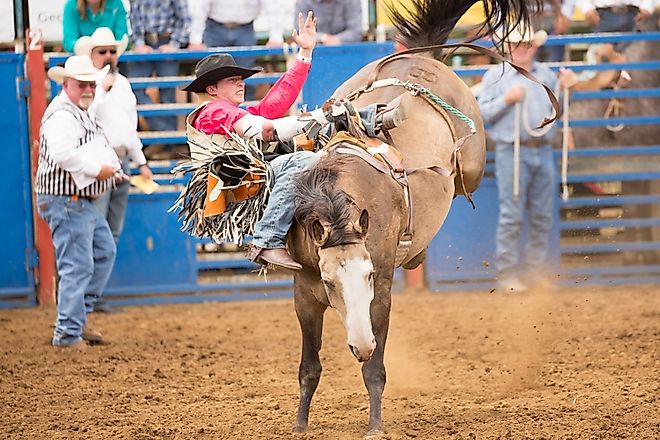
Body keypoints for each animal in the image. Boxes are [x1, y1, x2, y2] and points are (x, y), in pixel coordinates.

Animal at [287, 0, 543, 437]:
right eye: (328, 280)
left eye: (368, 277)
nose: (360, 344)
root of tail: (424, 56)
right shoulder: (304, 294)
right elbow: (309, 367)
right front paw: (300, 424)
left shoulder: (381, 293)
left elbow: (374, 368)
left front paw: (375, 424)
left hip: (472, 163)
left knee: (461, 185)